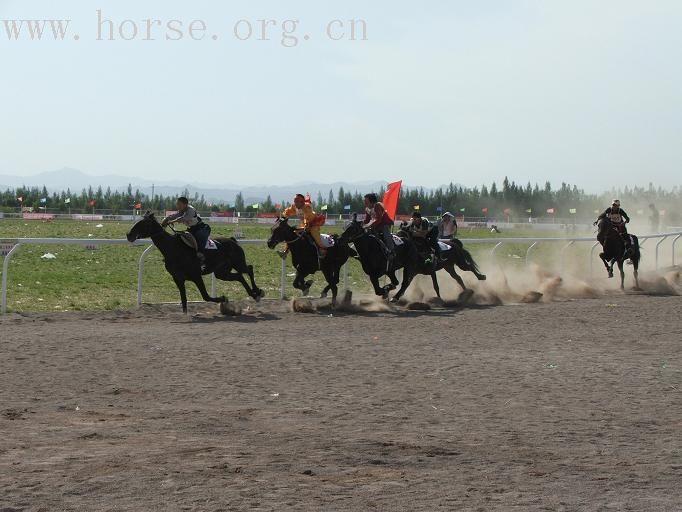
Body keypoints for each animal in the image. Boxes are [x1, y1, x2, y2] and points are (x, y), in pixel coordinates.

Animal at [126, 211, 264, 312]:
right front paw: (185, 313)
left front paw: (223, 298)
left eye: (142, 223)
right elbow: (184, 299)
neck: (174, 249)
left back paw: (258, 292)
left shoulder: (196, 276)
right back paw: (253, 294)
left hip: (238, 263)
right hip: (222, 273)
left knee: (249, 269)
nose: (128, 235)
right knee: (239, 277)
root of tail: (233, 240)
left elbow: (205, 296)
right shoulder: (178, 278)